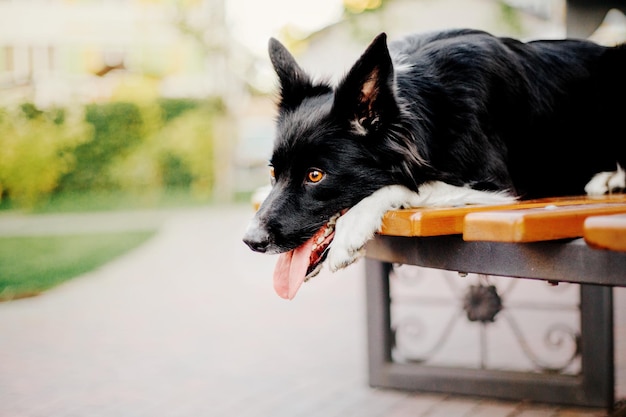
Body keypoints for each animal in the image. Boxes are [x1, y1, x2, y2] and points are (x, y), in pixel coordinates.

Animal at [243, 29, 624, 298]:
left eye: (315, 175)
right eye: (273, 172)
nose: (251, 241)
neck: (424, 103)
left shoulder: (497, 185)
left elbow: (411, 184)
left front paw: (352, 229)